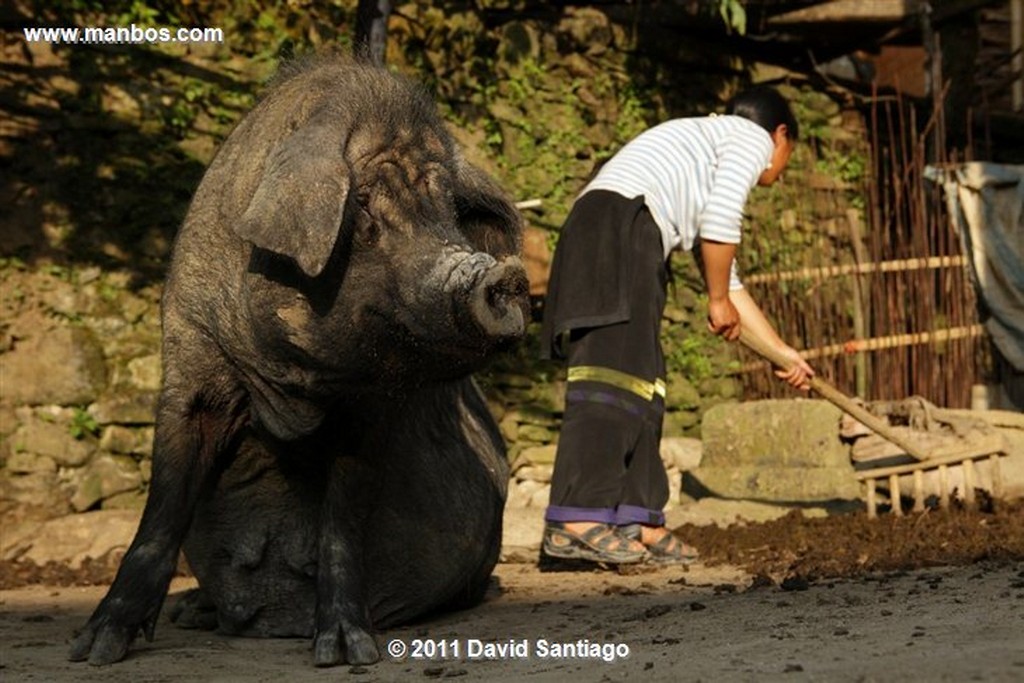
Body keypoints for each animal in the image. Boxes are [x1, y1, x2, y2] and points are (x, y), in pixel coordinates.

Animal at [71, 57, 532, 667]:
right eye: (362, 207)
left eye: (451, 215)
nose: (505, 277)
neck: (288, 390)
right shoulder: (190, 351)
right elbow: (163, 506)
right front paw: (93, 650)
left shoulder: (369, 410)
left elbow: (340, 521)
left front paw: (349, 653)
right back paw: (191, 614)